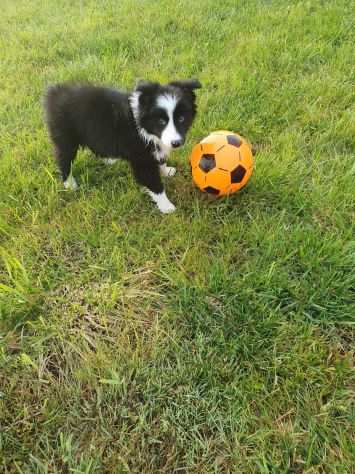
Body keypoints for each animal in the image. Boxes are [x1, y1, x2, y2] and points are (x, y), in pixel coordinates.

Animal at [43, 79, 202, 213]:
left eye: (181, 119)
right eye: (161, 122)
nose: (176, 143)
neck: (142, 125)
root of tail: (54, 92)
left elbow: (160, 157)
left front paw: (165, 170)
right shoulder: (141, 159)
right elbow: (153, 183)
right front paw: (166, 206)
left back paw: (109, 160)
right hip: (65, 138)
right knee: (63, 159)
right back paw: (69, 184)